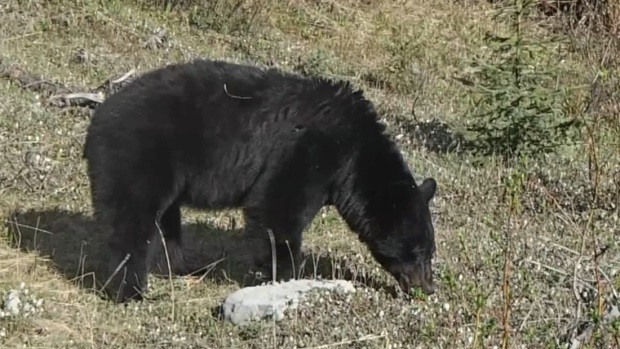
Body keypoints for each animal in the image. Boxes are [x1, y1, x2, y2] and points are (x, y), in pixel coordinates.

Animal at [82, 57, 438, 302]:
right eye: (422, 252)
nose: (429, 287)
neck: (356, 152)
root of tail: (98, 118)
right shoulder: (309, 149)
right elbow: (278, 206)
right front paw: (286, 273)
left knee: (165, 222)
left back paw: (183, 264)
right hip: (140, 155)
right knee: (131, 221)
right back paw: (129, 290)